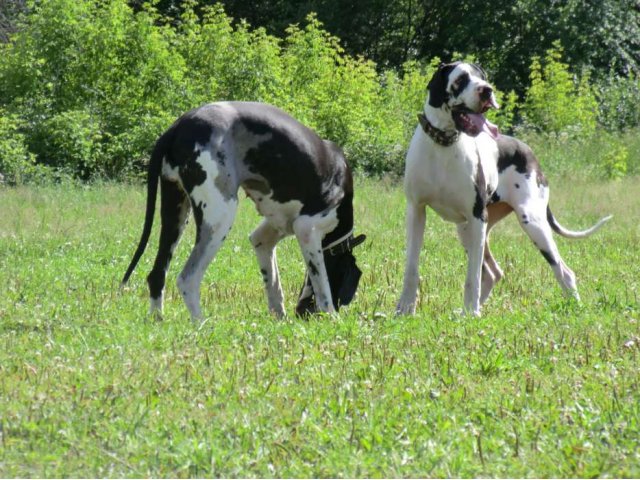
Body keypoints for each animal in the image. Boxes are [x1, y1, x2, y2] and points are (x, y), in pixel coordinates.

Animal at [122, 101, 368, 320]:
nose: (301, 312)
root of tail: (177, 126)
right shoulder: (307, 230)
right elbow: (322, 288)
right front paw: (332, 318)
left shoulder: (264, 238)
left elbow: (273, 284)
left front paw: (280, 319)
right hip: (219, 217)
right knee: (187, 278)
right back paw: (202, 325)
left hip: (176, 215)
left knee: (157, 275)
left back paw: (158, 320)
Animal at [396, 62, 608, 316]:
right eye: (461, 79)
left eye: (482, 77)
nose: (487, 90)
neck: (443, 146)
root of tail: (530, 152)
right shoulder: (416, 212)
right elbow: (411, 268)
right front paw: (405, 309)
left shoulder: (477, 218)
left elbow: (472, 277)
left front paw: (473, 313)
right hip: (466, 230)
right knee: (493, 273)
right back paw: (468, 311)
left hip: (530, 223)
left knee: (563, 271)